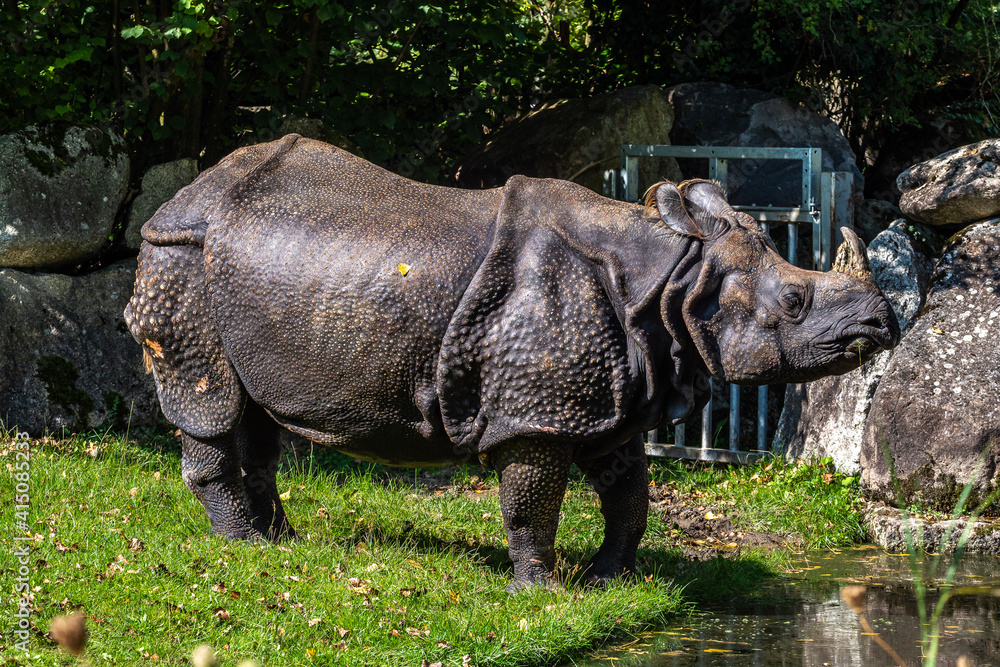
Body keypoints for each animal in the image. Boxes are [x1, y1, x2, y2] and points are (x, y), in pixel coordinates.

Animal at [125, 134, 899, 591]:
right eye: (795, 300)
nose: (883, 324)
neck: (676, 279)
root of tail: (180, 197)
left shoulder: (614, 393)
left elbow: (629, 494)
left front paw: (610, 581)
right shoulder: (538, 412)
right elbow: (532, 501)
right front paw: (543, 591)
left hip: (240, 273)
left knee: (255, 410)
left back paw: (285, 543)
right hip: (181, 259)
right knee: (210, 400)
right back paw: (245, 547)